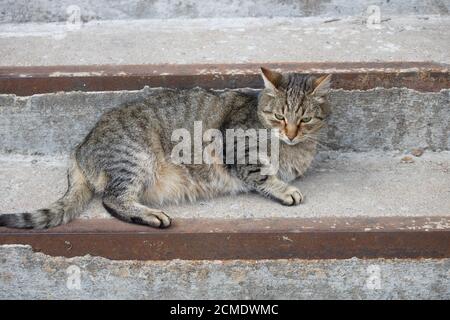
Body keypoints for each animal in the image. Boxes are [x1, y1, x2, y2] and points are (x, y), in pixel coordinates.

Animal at [0, 67, 330, 229]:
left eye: (305, 119)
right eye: (279, 117)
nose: (290, 134)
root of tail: (80, 146)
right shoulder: (237, 148)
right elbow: (262, 174)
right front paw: (285, 190)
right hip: (135, 158)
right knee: (112, 199)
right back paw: (151, 216)